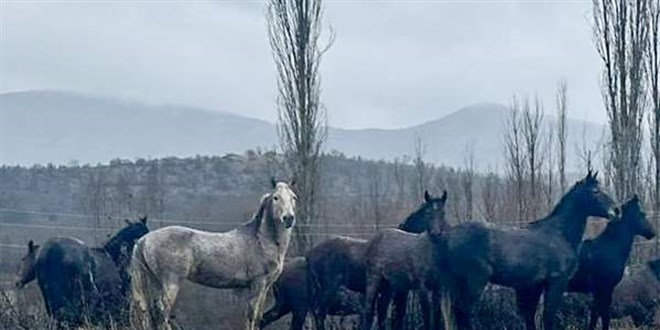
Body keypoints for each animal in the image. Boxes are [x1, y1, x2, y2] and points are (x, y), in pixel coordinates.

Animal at [130, 180, 296, 330]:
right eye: (276, 197)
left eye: (293, 197)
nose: (288, 218)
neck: (260, 240)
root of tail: (144, 239)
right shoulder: (257, 284)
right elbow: (251, 317)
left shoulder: (265, 287)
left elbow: (258, 318)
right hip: (171, 283)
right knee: (162, 315)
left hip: (156, 282)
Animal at [306, 191, 446, 330]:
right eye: (427, 213)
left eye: (442, 213)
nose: (436, 233)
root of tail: (310, 254)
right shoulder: (397, 292)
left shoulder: (393, 292)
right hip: (328, 289)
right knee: (320, 314)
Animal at [438, 171, 620, 328]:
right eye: (595, 192)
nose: (617, 210)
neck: (560, 233)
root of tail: (449, 235)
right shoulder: (556, 282)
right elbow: (548, 317)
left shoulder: (534, 286)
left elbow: (531, 317)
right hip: (474, 283)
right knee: (464, 314)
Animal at [568, 196, 656, 330]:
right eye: (641, 214)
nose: (652, 232)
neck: (610, 248)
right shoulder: (605, 289)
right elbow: (604, 316)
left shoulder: (598, 292)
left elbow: (595, 317)